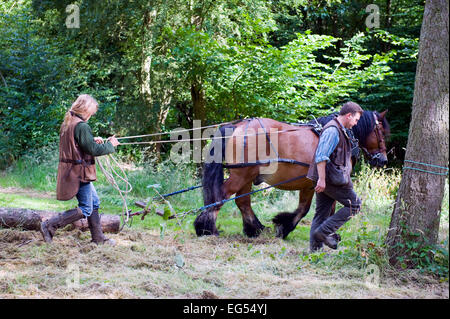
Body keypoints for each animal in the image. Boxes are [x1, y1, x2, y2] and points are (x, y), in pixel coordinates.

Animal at [195, 111, 388, 239]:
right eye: (381, 132)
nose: (383, 160)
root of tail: (238, 125)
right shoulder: (317, 184)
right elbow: (308, 209)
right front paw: (285, 227)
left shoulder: (311, 184)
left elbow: (312, 208)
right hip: (241, 175)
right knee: (221, 196)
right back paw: (206, 228)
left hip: (246, 175)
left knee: (242, 202)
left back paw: (255, 229)